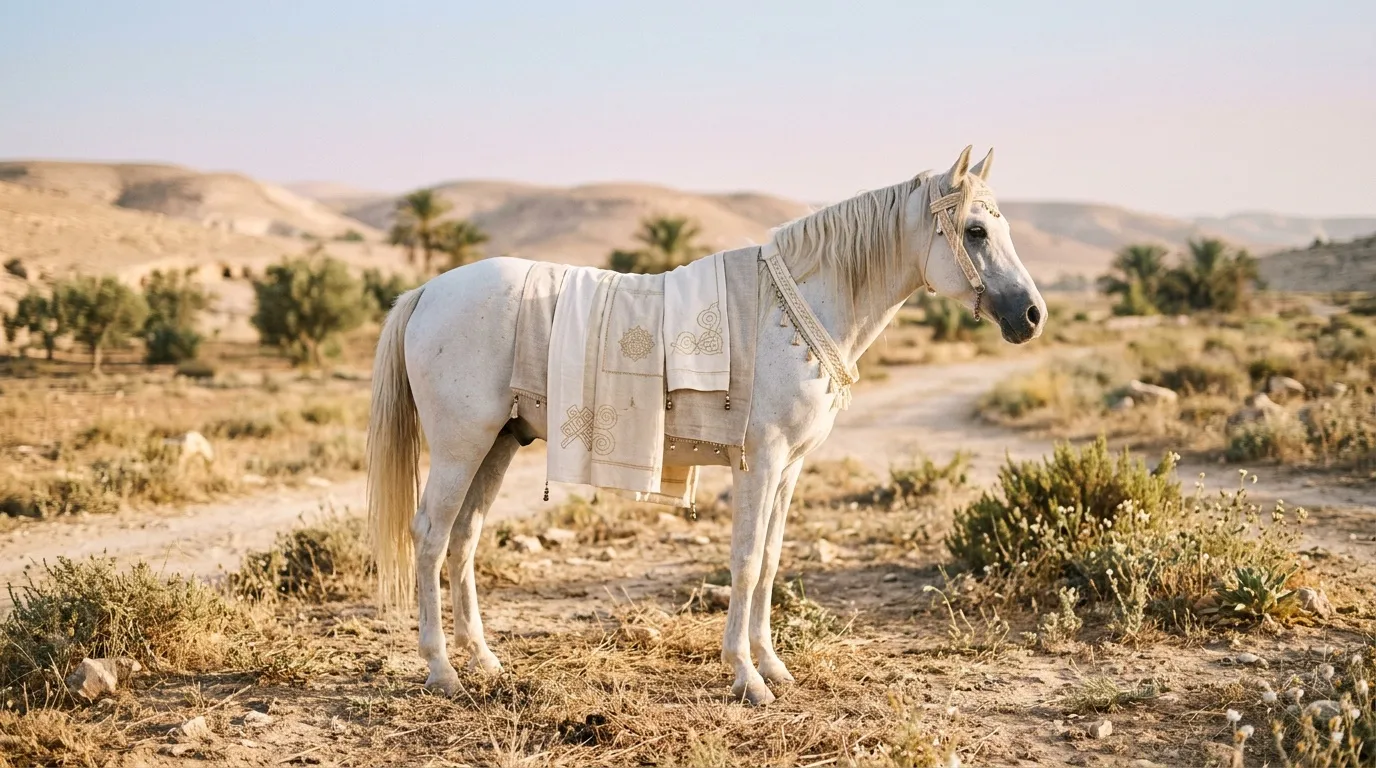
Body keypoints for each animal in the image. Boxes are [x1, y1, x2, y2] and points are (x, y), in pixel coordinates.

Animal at [366, 145, 1046, 706]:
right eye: (976, 230)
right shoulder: (761, 461)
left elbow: (769, 560)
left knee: (464, 539)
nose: (1032, 315)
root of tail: (426, 292)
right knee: (430, 537)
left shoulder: (790, 468)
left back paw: (484, 662)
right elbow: (743, 561)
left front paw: (773, 667)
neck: (794, 307)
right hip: (461, 447)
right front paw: (746, 676)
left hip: (497, 446)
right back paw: (442, 671)